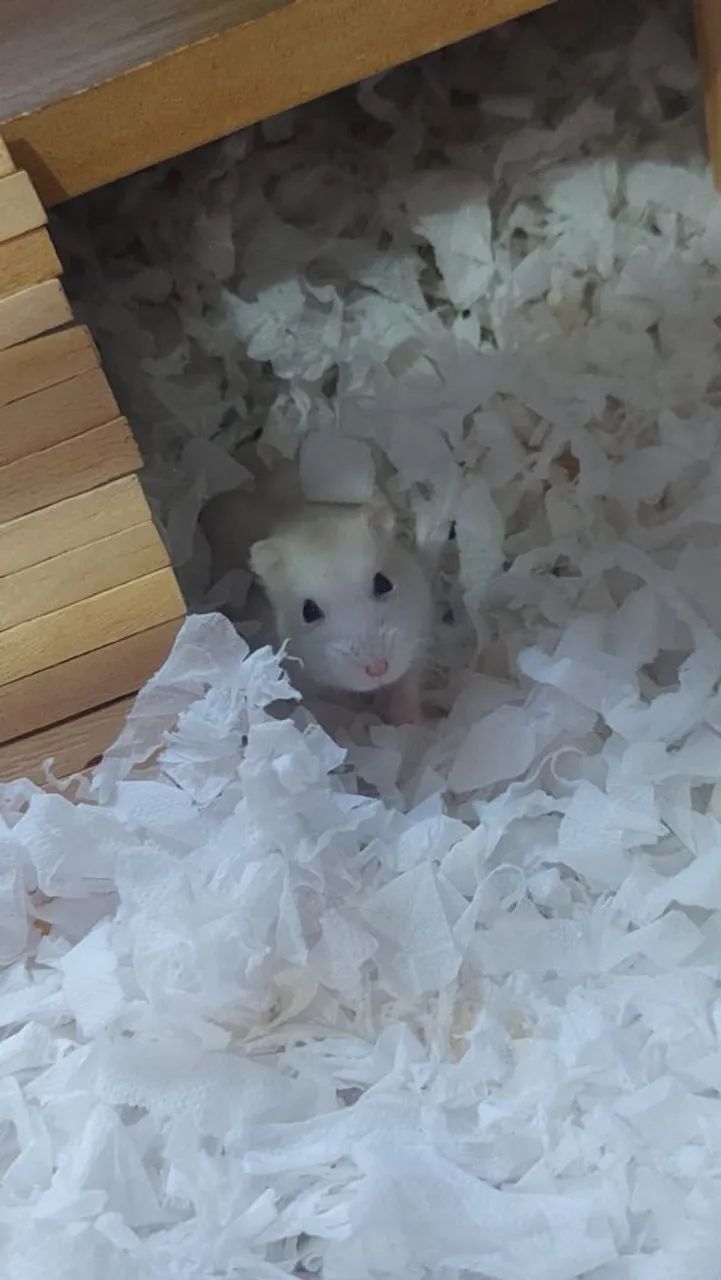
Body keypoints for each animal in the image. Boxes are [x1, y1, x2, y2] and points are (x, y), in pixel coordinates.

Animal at [202, 487, 433, 723]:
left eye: (384, 583)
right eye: (308, 611)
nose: (378, 669)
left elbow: (408, 683)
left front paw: (408, 722)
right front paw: (363, 714)